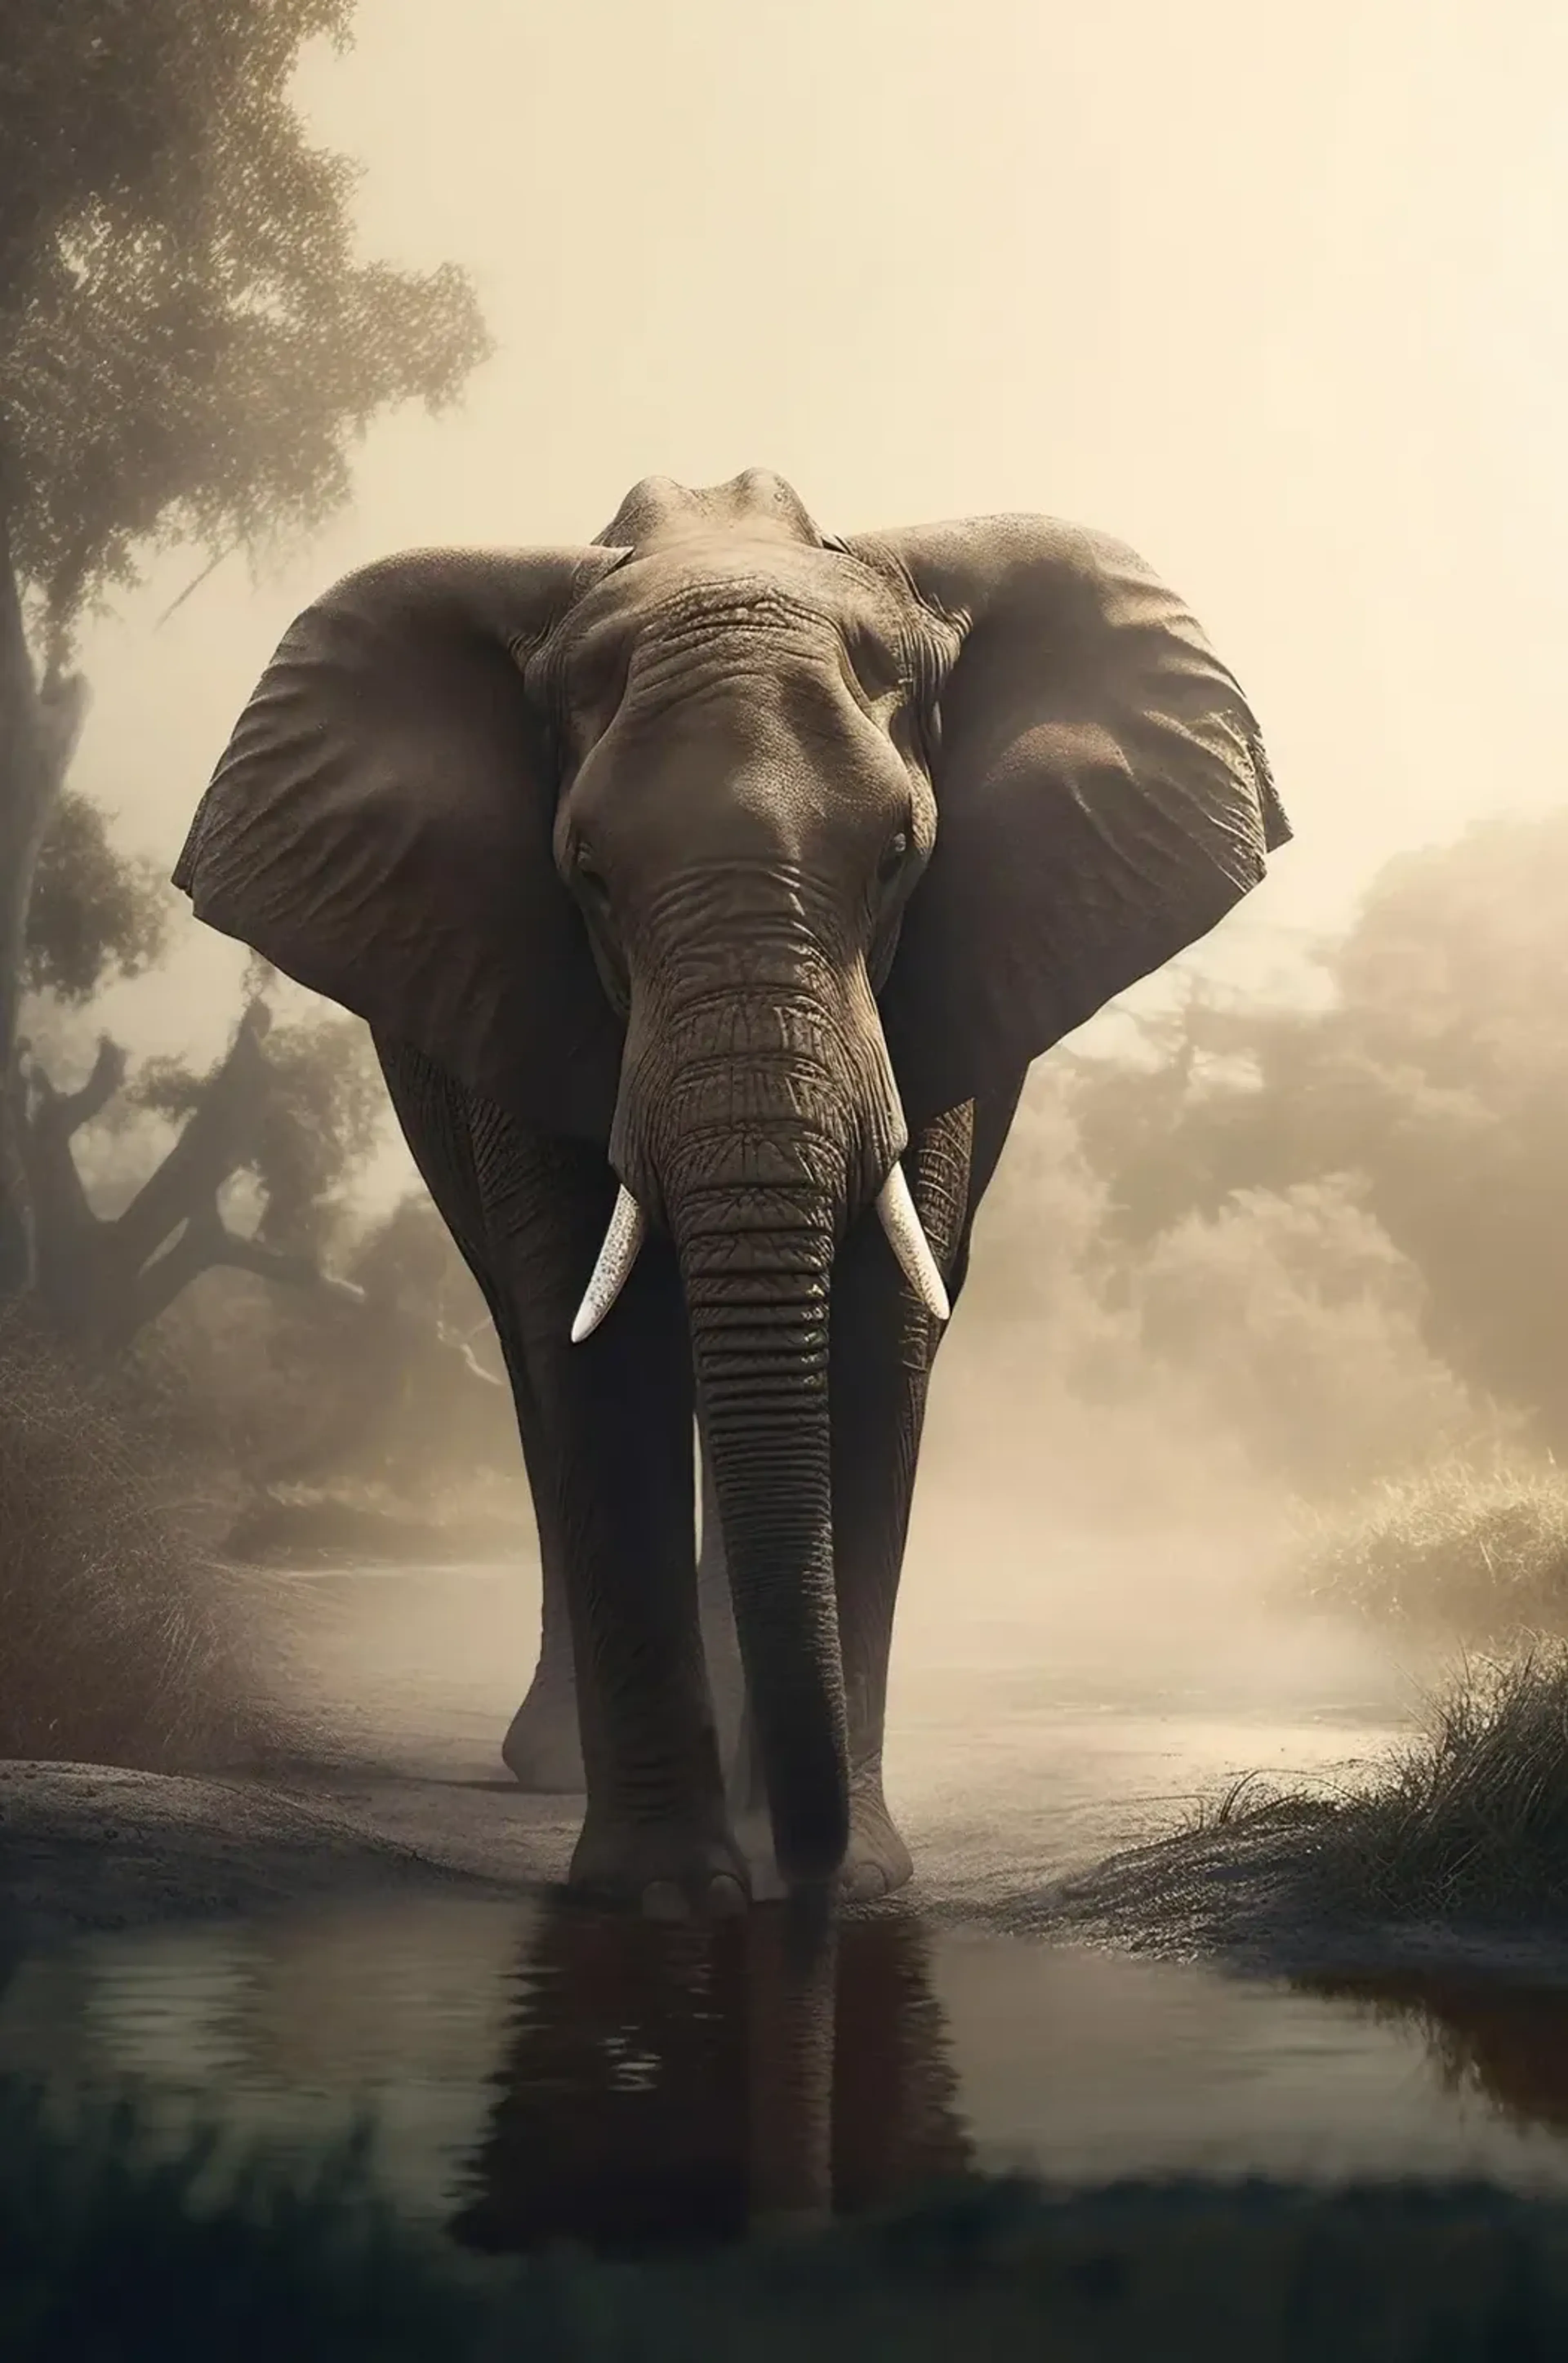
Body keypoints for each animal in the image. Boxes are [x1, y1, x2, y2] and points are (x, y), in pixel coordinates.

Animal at [172, 467, 1289, 1918]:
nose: (792, 1879)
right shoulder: (514, 970)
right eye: (588, 877)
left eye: (899, 859)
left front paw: (853, 1880)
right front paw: (672, 1894)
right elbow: (603, 1352)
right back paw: (556, 1767)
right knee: (532, 1357)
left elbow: (876, 1335)